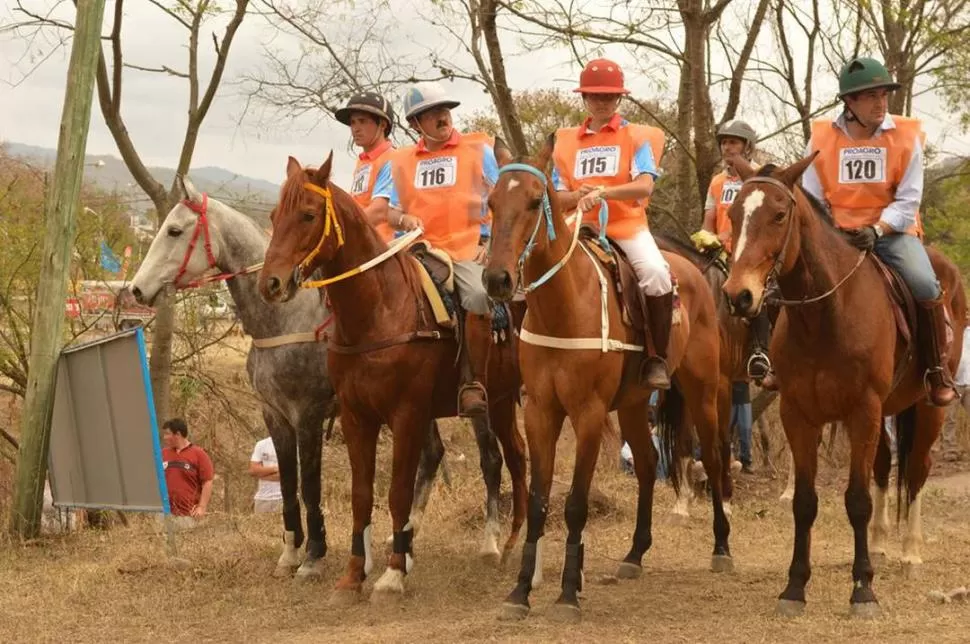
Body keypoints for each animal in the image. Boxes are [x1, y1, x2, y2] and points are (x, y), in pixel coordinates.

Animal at [129, 176, 450, 580]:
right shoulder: (275, 415)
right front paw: (290, 551)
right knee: (432, 454)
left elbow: (309, 486)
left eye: (174, 230)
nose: (136, 289)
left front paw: (313, 555)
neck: (285, 320)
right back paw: (404, 542)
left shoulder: (308, 414)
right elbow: (286, 484)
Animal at [253, 153, 524, 600]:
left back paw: (498, 543)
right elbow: (362, 496)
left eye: (308, 215)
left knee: (501, 458)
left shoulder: (405, 415)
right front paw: (352, 575)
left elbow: (397, 492)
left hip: (497, 403)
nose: (270, 283)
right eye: (275, 216)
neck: (377, 314)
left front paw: (393, 573)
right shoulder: (355, 417)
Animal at [480, 153, 728, 620]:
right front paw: (520, 592)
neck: (562, 305)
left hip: (703, 393)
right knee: (648, 464)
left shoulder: (589, 414)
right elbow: (539, 502)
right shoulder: (540, 412)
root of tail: (694, 272)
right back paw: (634, 554)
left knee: (716, 461)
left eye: (533, 202)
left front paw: (567, 594)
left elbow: (576, 504)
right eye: (490, 202)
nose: (497, 280)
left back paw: (722, 547)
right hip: (632, 405)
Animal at [724, 157, 964, 620]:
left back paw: (910, 553)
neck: (825, 315)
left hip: (929, 408)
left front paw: (863, 590)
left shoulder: (862, 411)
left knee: (917, 470)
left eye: (778, 215)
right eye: (733, 215)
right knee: (885, 468)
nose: (738, 295)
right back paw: (881, 544)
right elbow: (804, 502)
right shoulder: (799, 414)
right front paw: (794, 588)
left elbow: (856, 499)